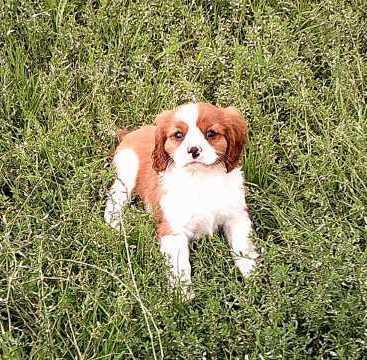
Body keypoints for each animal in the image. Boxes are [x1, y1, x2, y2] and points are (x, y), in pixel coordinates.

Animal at [103, 102, 258, 296]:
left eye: (211, 133)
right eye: (178, 135)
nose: (193, 150)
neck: (201, 177)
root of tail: (132, 132)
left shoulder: (236, 216)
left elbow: (242, 246)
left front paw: (253, 277)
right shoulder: (173, 230)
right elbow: (180, 266)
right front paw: (183, 296)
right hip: (127, 169)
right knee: (116, 197)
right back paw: (115, 224)